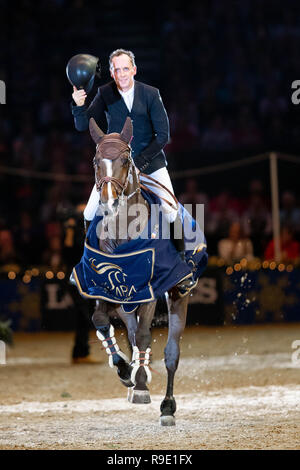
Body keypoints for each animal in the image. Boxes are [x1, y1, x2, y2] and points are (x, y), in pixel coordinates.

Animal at [71, 115, 207, 424]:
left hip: (178, 294)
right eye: (95, 160)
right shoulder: (104, 287)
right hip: (126, 303)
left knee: (170, 352)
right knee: (132, 334)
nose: (109, 202)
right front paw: (124, 370)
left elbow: (146, 336)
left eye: (126, 158)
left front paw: (142, 384)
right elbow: (100, 320)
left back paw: (166, 406)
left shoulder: (150, 289)